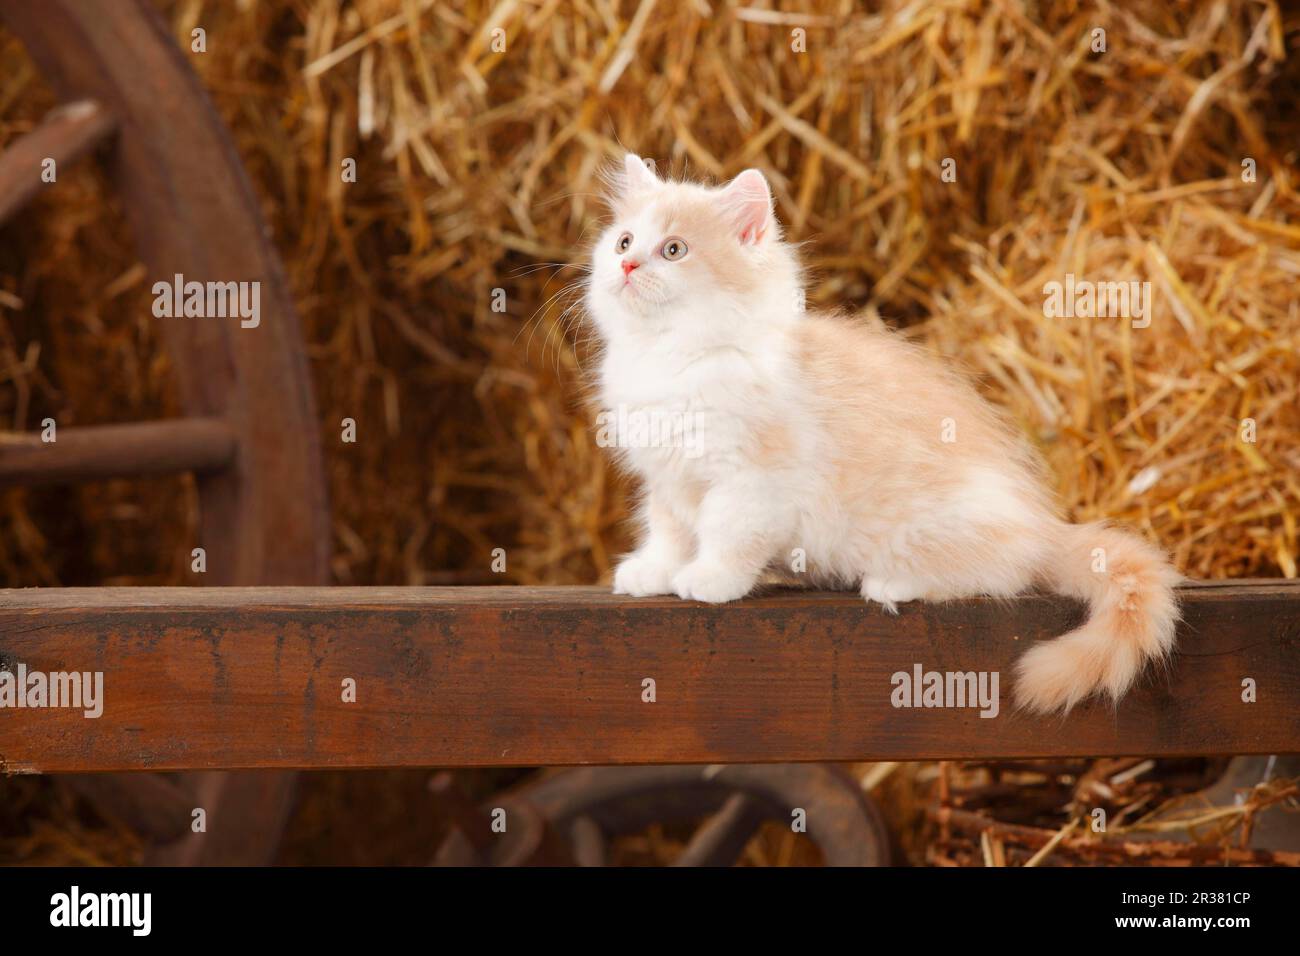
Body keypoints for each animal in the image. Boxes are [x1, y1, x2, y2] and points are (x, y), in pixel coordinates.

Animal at [585, 153, 1185, 712]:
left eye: (674, 250)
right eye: (623, 242)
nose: (628, 265)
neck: (670, 355)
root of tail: (1045, 526)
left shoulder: (753, 482)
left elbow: (727, 534)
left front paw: (711, 580)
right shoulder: (666, 478)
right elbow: (668, 531)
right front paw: (653, 573)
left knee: (1004, 575)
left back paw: (891, 583)